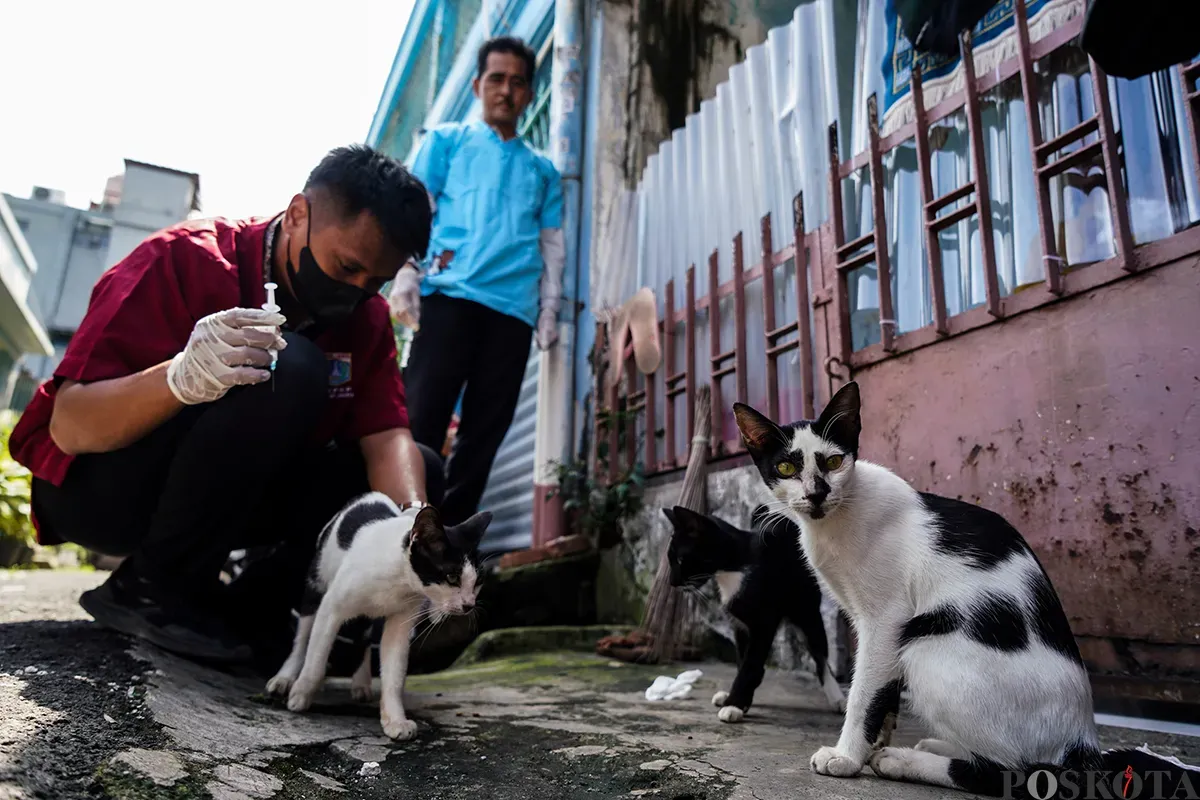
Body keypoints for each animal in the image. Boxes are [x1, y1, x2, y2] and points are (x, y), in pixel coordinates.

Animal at [267, 494, 487, 743]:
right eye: (451, 577)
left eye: (478, 582)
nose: (468, 605)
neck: (400, 580)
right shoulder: (330, 607)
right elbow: (316, 658)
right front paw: (301, 695)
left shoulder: (400, 624)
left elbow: (394, 674)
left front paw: (395, 720)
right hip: (316, 584)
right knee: (303, 639)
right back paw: (285, 678)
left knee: (362, 639)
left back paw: (361, 683)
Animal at [662, 503, 849, 724]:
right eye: (671, 560)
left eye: (681, 560)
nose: (672, 583)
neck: (733, 568)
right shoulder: (739, 625)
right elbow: (744, 661)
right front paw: (739, 700)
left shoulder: (764, 623)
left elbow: (750, 664)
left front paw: (733, 704)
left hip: (807, 611)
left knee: (820, 655)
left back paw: (837, 697)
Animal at [729, 381, 1190, 796]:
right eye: (786, 468)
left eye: (834, 461)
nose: (817, 493)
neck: (833, 523)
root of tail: (1085, 745)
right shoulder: (869, 621)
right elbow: (883, 691)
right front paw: (875, 740)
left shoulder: (886, 619)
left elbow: (864, 692)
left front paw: (848, 755)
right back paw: (933, 747)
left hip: (927, 642)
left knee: (1012, 772)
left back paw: (904, 761)